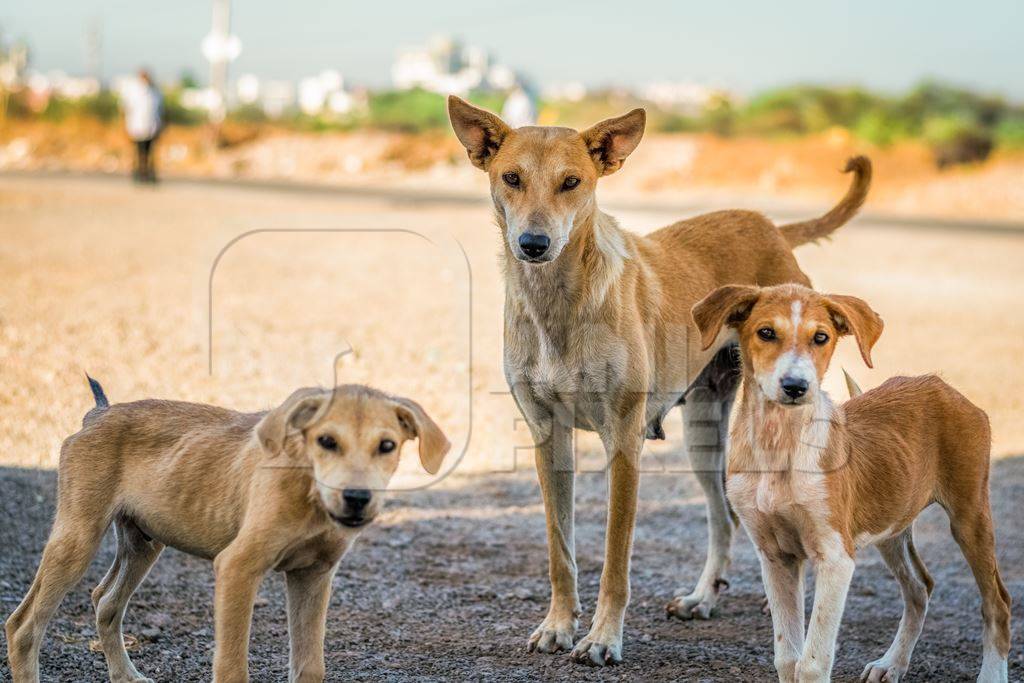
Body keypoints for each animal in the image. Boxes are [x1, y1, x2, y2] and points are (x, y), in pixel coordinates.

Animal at [4, 378, 448, 683]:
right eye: (326, 441)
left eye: (387, 446)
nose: (356, 498)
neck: (308, 492)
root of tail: (97, 414)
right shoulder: (237, 568)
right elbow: (233, 667)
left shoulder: (313, 576)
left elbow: (310, 667)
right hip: (77, 537)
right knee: (22, 626)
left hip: (143, 543)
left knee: (105, 601)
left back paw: (126, 676)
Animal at [448, 96, 872, 667]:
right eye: (511, 177)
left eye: (571, 182)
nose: (534, 244)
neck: (560, 302)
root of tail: (771, 228)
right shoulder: (547, 438)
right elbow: (561, 551)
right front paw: (559, 625)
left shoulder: (624, 442)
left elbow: (615, 560)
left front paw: (603, 638)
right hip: (702, 434)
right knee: (723, 518)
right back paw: (702, 597)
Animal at [692, 282, 1011, 679]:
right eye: (766, 332)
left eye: (821, 337)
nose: (796, 386)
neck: (777, 446)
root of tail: (940, 384)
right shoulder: (775, 556)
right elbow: (787, 658)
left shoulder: (835, 557)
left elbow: (812, 663)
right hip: (891, 525)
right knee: (920, 587)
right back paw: (891, 664)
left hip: (969, 517)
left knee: (997, 602)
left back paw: (991, 674)